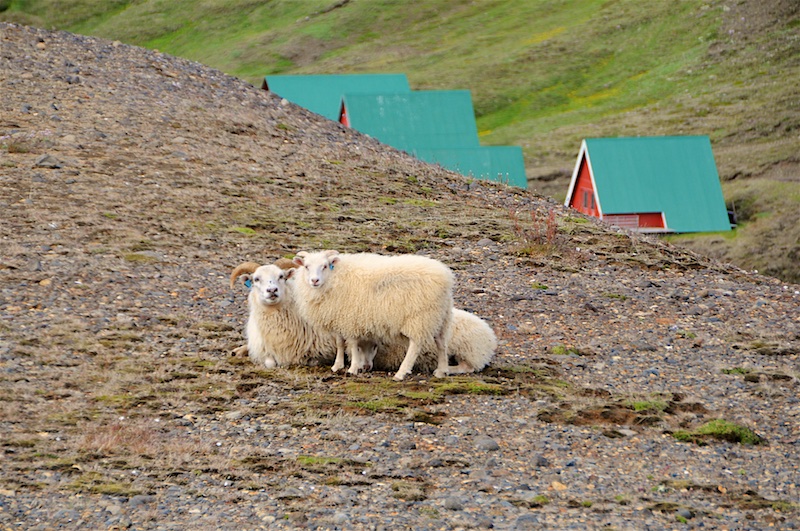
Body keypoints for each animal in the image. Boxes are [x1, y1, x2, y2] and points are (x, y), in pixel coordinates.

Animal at [292, 250, 454, 380]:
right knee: (442, 343)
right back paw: (442, 371)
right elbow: (340, 343)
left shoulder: (350, 318)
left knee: (415, 345)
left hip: (420, 317)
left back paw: (401, 373)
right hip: (441, 315)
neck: (335, 277)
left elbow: (352, 344)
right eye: (306, 266)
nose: (314, 280)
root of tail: (446, 276)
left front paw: (353, 368)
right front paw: (337, 365)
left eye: (324, 266)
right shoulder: (338, 318)